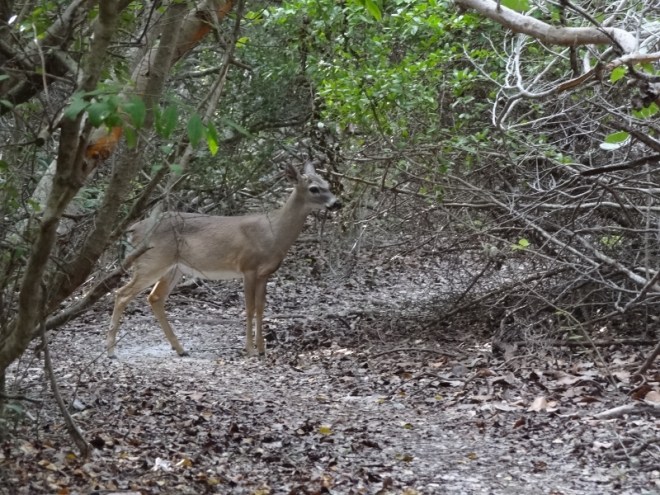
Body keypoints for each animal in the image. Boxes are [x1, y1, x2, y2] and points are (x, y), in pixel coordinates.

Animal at [106, 161, 341, 358]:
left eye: (328, 184)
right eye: (314, 188)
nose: (337, 203)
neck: (273, 232)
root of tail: (134, 229)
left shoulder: (265, 273)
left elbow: (261, 308)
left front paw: (262, 348)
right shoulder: (248, 267)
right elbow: (249, 308)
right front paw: (250, 350)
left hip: (174, 268)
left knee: (155, 298)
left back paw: (180, 348)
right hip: (152, 261)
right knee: (122, 294)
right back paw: (110, 351)